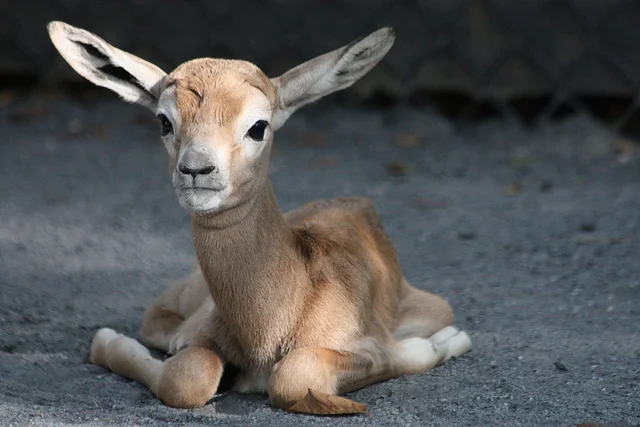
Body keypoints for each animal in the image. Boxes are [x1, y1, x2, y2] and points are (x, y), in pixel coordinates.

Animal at [47, 21, 471, 414]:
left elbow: (297, 376)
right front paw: (110, 340)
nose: (196, 169)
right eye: (164, 121)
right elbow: (186, 378)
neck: (273, 325)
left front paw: (447, 341)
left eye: (257, 126)